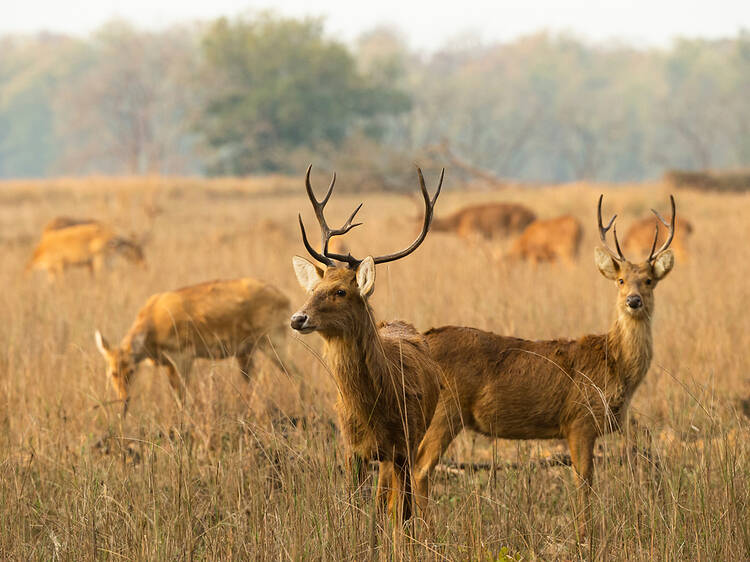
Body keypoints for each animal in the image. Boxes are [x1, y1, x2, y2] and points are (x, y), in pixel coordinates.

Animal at [91, 276, 296, 416]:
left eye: (132, 370)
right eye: (113, 373)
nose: (124, 399)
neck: (152, 319)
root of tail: (284, 298)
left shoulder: (184, 359)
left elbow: (184, 397)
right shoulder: (169, 364)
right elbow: (178, 397)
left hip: (273, 346)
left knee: (297, 376)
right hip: (246, 355)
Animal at [290, 164, 446, 520]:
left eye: (341, 291)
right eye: (313, 289)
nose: (297, 318)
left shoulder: (404, 445)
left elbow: (402, 514)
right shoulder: (352, 451)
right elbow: (357, 513)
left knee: (394, 503)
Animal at [414, 195, 680, 532]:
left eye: (648, 280)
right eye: (621, 280)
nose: (634, 300)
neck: (614, 364)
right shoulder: (579, 420)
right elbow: (584, 485)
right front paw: (585, 536)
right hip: (446, 409)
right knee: (421, 467)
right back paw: (425, 534)